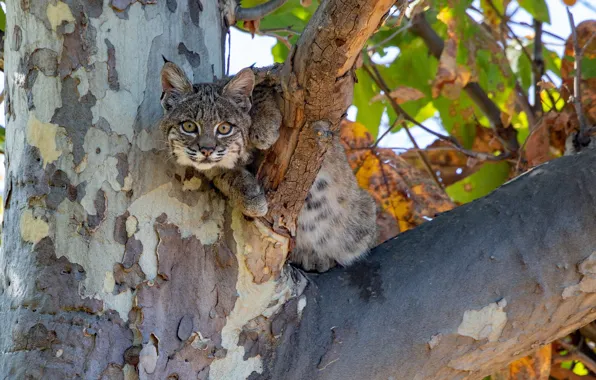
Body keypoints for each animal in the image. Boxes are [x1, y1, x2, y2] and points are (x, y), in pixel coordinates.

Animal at [156, 60, 374, 272]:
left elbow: (262, 88)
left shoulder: (276, 75)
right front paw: (251, 200)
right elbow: (228, 177)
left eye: (224, 128)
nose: (206, 150)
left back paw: (318, 258)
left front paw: (263, 129)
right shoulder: (215, 168)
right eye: (189, 126)